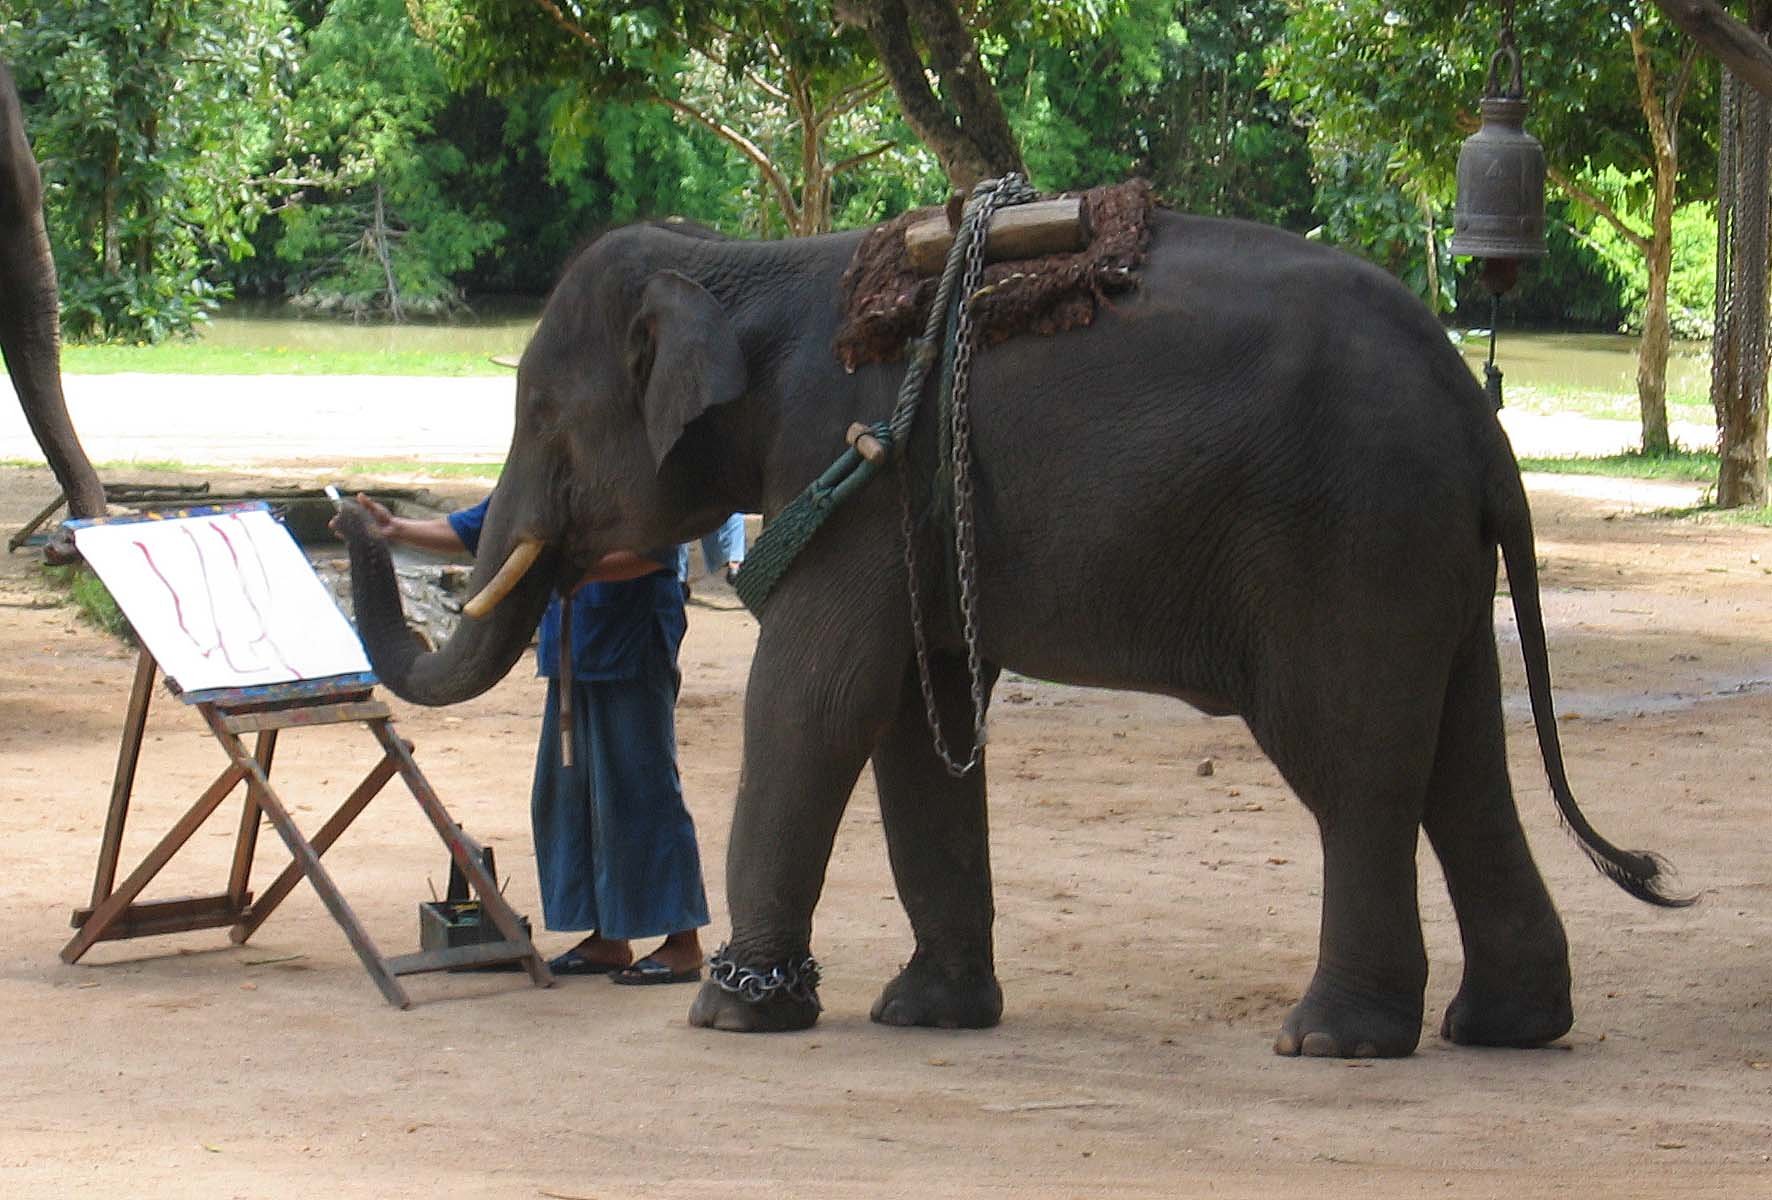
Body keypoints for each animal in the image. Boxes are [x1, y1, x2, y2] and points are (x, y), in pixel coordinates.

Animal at [334, 200, 1688, 1059]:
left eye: (541, 419)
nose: (350, 507)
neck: (753, 262)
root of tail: (1480, 425)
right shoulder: (906, 507)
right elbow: (913, 716)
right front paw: (926, 1014)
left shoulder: (854, 465)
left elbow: (816, 697)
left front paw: (733, 1016)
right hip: (1423, 559)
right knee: (1458, 766)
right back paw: (1504, 1031)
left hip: (1352, 539)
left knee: (1355, 765)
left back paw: (1330, 1041)